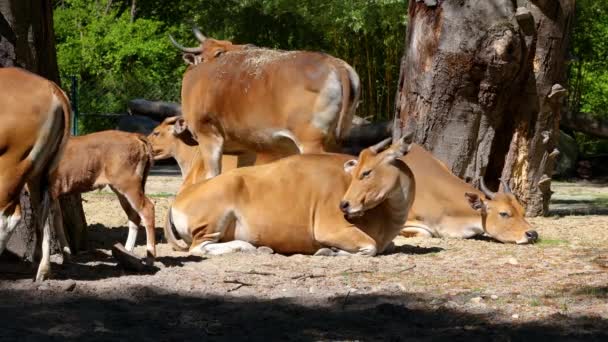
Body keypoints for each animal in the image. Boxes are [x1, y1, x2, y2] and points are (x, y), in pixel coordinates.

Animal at [0, 68, 71, 282]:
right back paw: (43, 268)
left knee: (8, 216)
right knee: (44, 209)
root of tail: (53, 89)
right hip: (39, 171)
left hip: (10, 165)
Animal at [50, 132, 157, 264]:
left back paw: (150, 258)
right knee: (134, 216)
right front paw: (67, 255)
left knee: (147, 208)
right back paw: (127, 252)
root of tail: (135, 136)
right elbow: (57, 220)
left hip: (128, 183)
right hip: (120, 188)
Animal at [164, 136, 416, 256]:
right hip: (212, 221)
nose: (345, 205)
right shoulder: (330, 229)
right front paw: (329, 251)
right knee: (199, 247)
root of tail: (178, 200)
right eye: (358, 172)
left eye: (366, 172)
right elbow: (370, 247)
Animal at [170, 28, 360, 180]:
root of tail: (336, 65)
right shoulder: (245, 150)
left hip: (311, 143)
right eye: (219, 51)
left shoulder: (208, 136)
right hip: (335, 141)